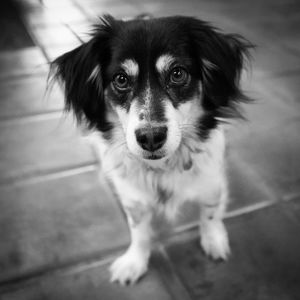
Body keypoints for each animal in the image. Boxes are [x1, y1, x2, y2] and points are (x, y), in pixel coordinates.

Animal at [50, 14, 252, 286]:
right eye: (121, 79)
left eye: (177, 73)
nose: (150, 137)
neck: (162, 167)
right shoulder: (132, 199)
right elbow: (139, 233)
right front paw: (134, 262)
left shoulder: (212, 183)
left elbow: (210, 214)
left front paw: (214, 240)